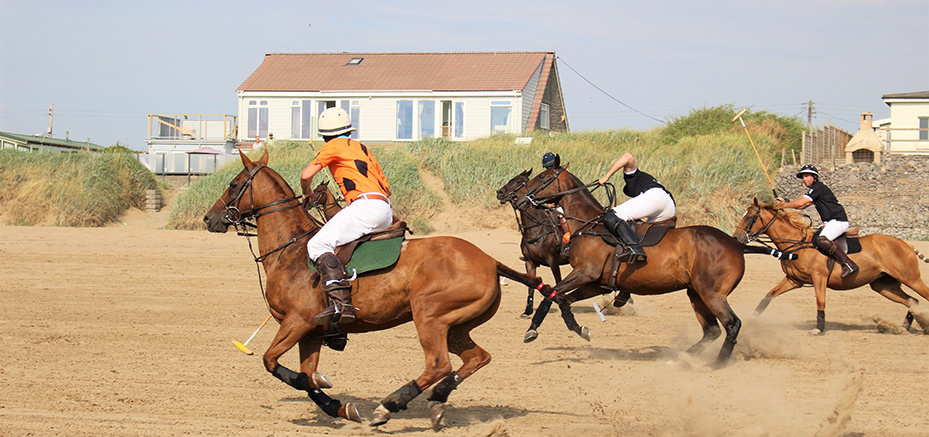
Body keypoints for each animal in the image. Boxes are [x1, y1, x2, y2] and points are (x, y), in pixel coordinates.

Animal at [201, 151, 552, 430]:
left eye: (234, 184)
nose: (209, 218)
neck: (291, 251)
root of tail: (491, 261)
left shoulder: (297, 321)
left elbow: (273, 363)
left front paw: (326, 388)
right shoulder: (312, 331)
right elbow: (307, 376)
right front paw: (340, 406)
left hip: (429, 315)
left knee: (439, 364)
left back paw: (389, 406)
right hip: (456, 325)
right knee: (477, 357)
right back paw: (436, 401)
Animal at [496, 169, 568, 316]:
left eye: (518, 181)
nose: (499, 192)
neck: (536, 229)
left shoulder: (553, 261)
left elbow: (558, 282)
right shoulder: (530, 262)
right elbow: (531, 285)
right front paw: (528, 311)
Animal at [512, 163, 744, 364]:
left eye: (542, 177)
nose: (517, 197)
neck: (588, 225)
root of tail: (735, 244)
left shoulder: (585, 272)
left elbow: (551, 293)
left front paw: (532, 329)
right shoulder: (597, 283)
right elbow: (562, 298)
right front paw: (577, 330)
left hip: (711, 292)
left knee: (732, 323)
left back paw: (717, 364)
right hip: (695, 292)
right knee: (712, 330)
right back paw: (680, 358)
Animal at [732, 196, 928, 332]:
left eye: (749, 218)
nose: (736, 238)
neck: (797, 243)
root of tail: (907, 244)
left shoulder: (819, 277)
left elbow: (820, 301)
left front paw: (819, 328)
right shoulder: (794, 280)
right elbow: (769, 295)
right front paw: (753, 319)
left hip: (911, 278)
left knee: (922, 295)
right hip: (884, 285)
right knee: (913, 301)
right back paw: (903, 327)